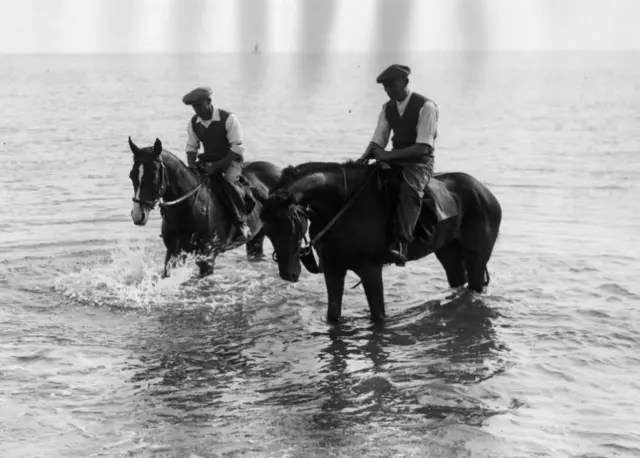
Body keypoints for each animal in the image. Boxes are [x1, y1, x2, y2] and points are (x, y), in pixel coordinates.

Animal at [129, 138, 282, 278]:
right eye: (132, 175)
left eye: (153, 177)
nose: (138, 215)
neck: (187, 209)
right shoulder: (174, 253)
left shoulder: (207, 257)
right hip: (256, 238)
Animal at [258, 161, 500, 322]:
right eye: (268, 230)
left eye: (290, 225)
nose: (287, 274)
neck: (341, 207)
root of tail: (484, 192)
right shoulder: (334, 270)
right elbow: (333, 316)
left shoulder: (371, 270)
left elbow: (378, 316)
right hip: (448, 251)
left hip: (476, 260)